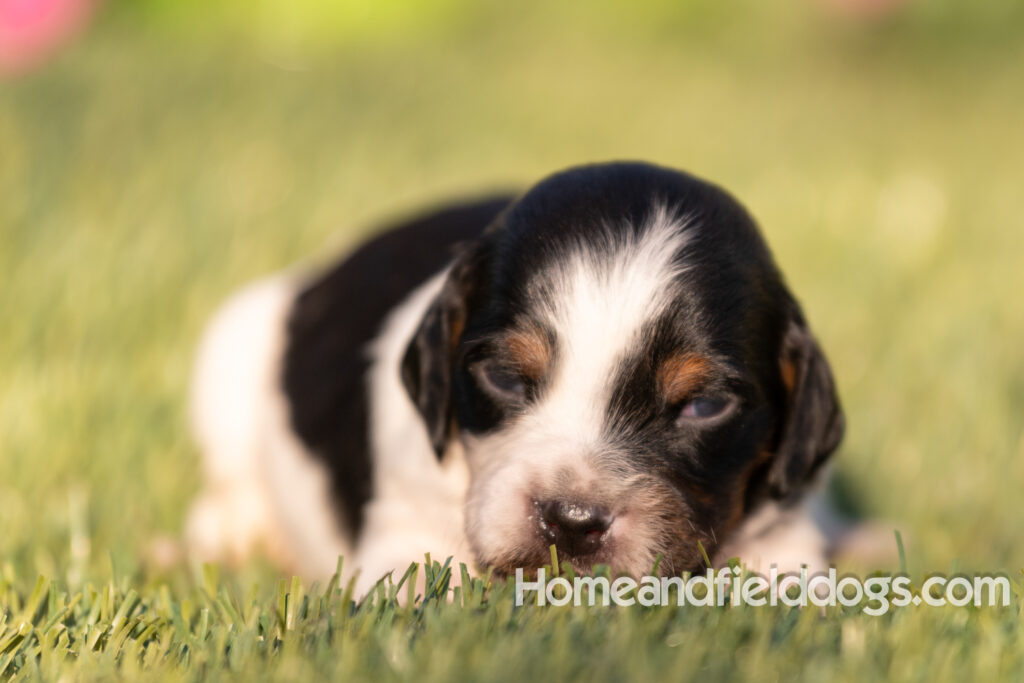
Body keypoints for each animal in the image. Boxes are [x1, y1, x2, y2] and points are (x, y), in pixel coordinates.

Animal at [188, 161, 843, 593]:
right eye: (504, 377)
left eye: (704, 407)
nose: (572, 521)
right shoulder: (404, 528)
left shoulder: (788, 537)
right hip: (230, 352)